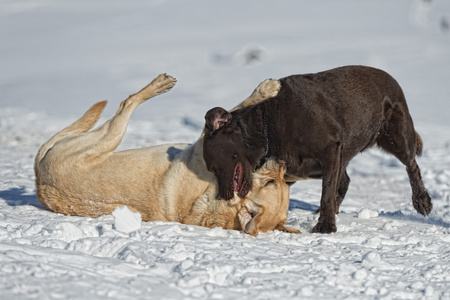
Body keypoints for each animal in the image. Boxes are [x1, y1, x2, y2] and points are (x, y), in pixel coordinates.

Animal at [35, 74, 300, 236]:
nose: (282, 162)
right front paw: (267, 89)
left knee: (126, 104)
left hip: (108, 137)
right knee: (126, 103)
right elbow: (240, 106)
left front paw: (266, 89)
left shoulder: (201, 147)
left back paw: (158, 85)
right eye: (274, 182)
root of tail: (40, 183)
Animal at [204, 66, 432, 234]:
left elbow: (327, 192)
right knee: (345, 181)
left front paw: (325, 226)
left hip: (397, 135)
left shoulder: (331, 149)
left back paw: (422, 202)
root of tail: (390, 78)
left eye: (214, 166)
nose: (223, 197)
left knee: (412, 165)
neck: (268, 127)